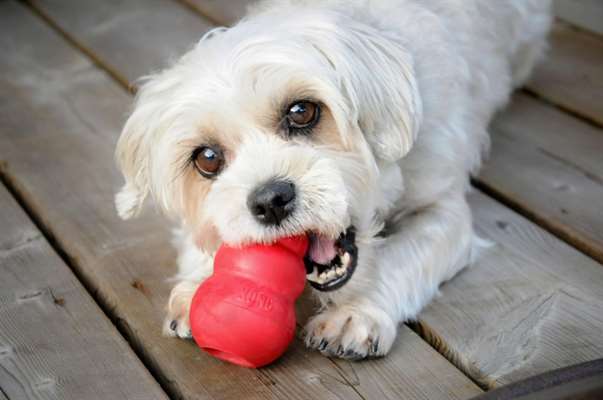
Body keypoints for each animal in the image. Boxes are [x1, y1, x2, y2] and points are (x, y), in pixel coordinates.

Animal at [113, 0, 552, 360]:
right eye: (207, 158)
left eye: (302, 111)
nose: (270, 200)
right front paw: (199, 283)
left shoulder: (443, 210)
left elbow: (398, 258)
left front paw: (354, 314)